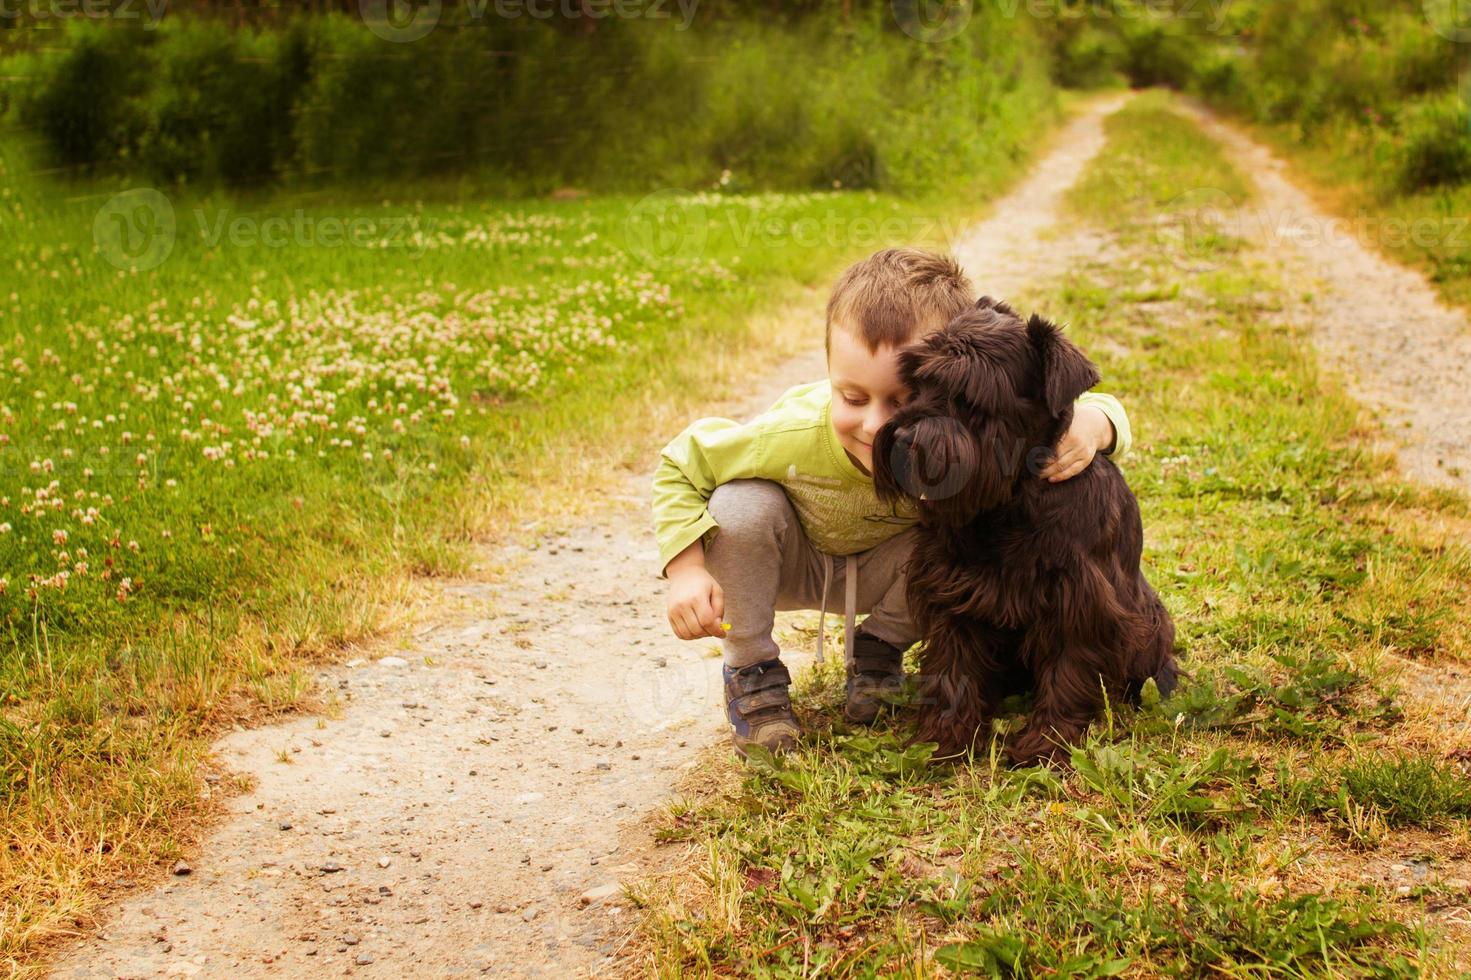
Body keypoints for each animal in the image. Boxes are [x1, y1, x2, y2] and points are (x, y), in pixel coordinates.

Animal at [870, 297, 1170, 765]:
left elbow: (1067, 671)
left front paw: (1046, 741)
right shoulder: (952, 593)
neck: (1007, 504)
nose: (901, 436)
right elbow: (954, 668)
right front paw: (945, 738)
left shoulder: (1077, 603)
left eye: (971, 396)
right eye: (917, 380)